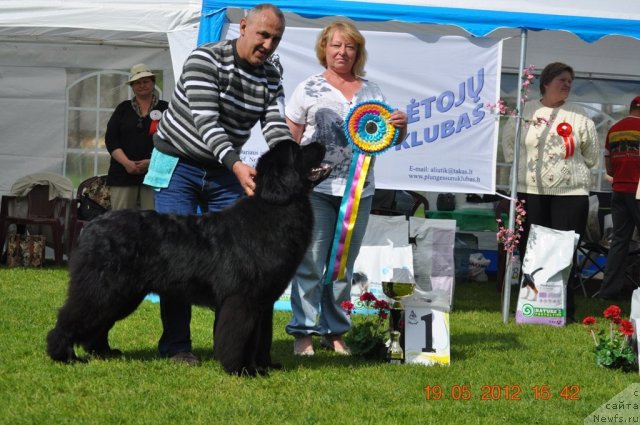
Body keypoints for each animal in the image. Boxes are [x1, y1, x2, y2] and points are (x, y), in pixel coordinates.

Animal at [47, 142, 330, 374]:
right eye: (299, 150)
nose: (321, 143)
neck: (275, 208)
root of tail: (93, 225)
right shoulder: (242, 299)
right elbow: (239, 338)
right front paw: (241, 369)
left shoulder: (263, 301)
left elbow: (260, 337)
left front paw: (263, 367)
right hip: (103, 288)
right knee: (71, 316)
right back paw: (63, 355)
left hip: (123, 293)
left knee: (99, 322)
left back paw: (103, 352)